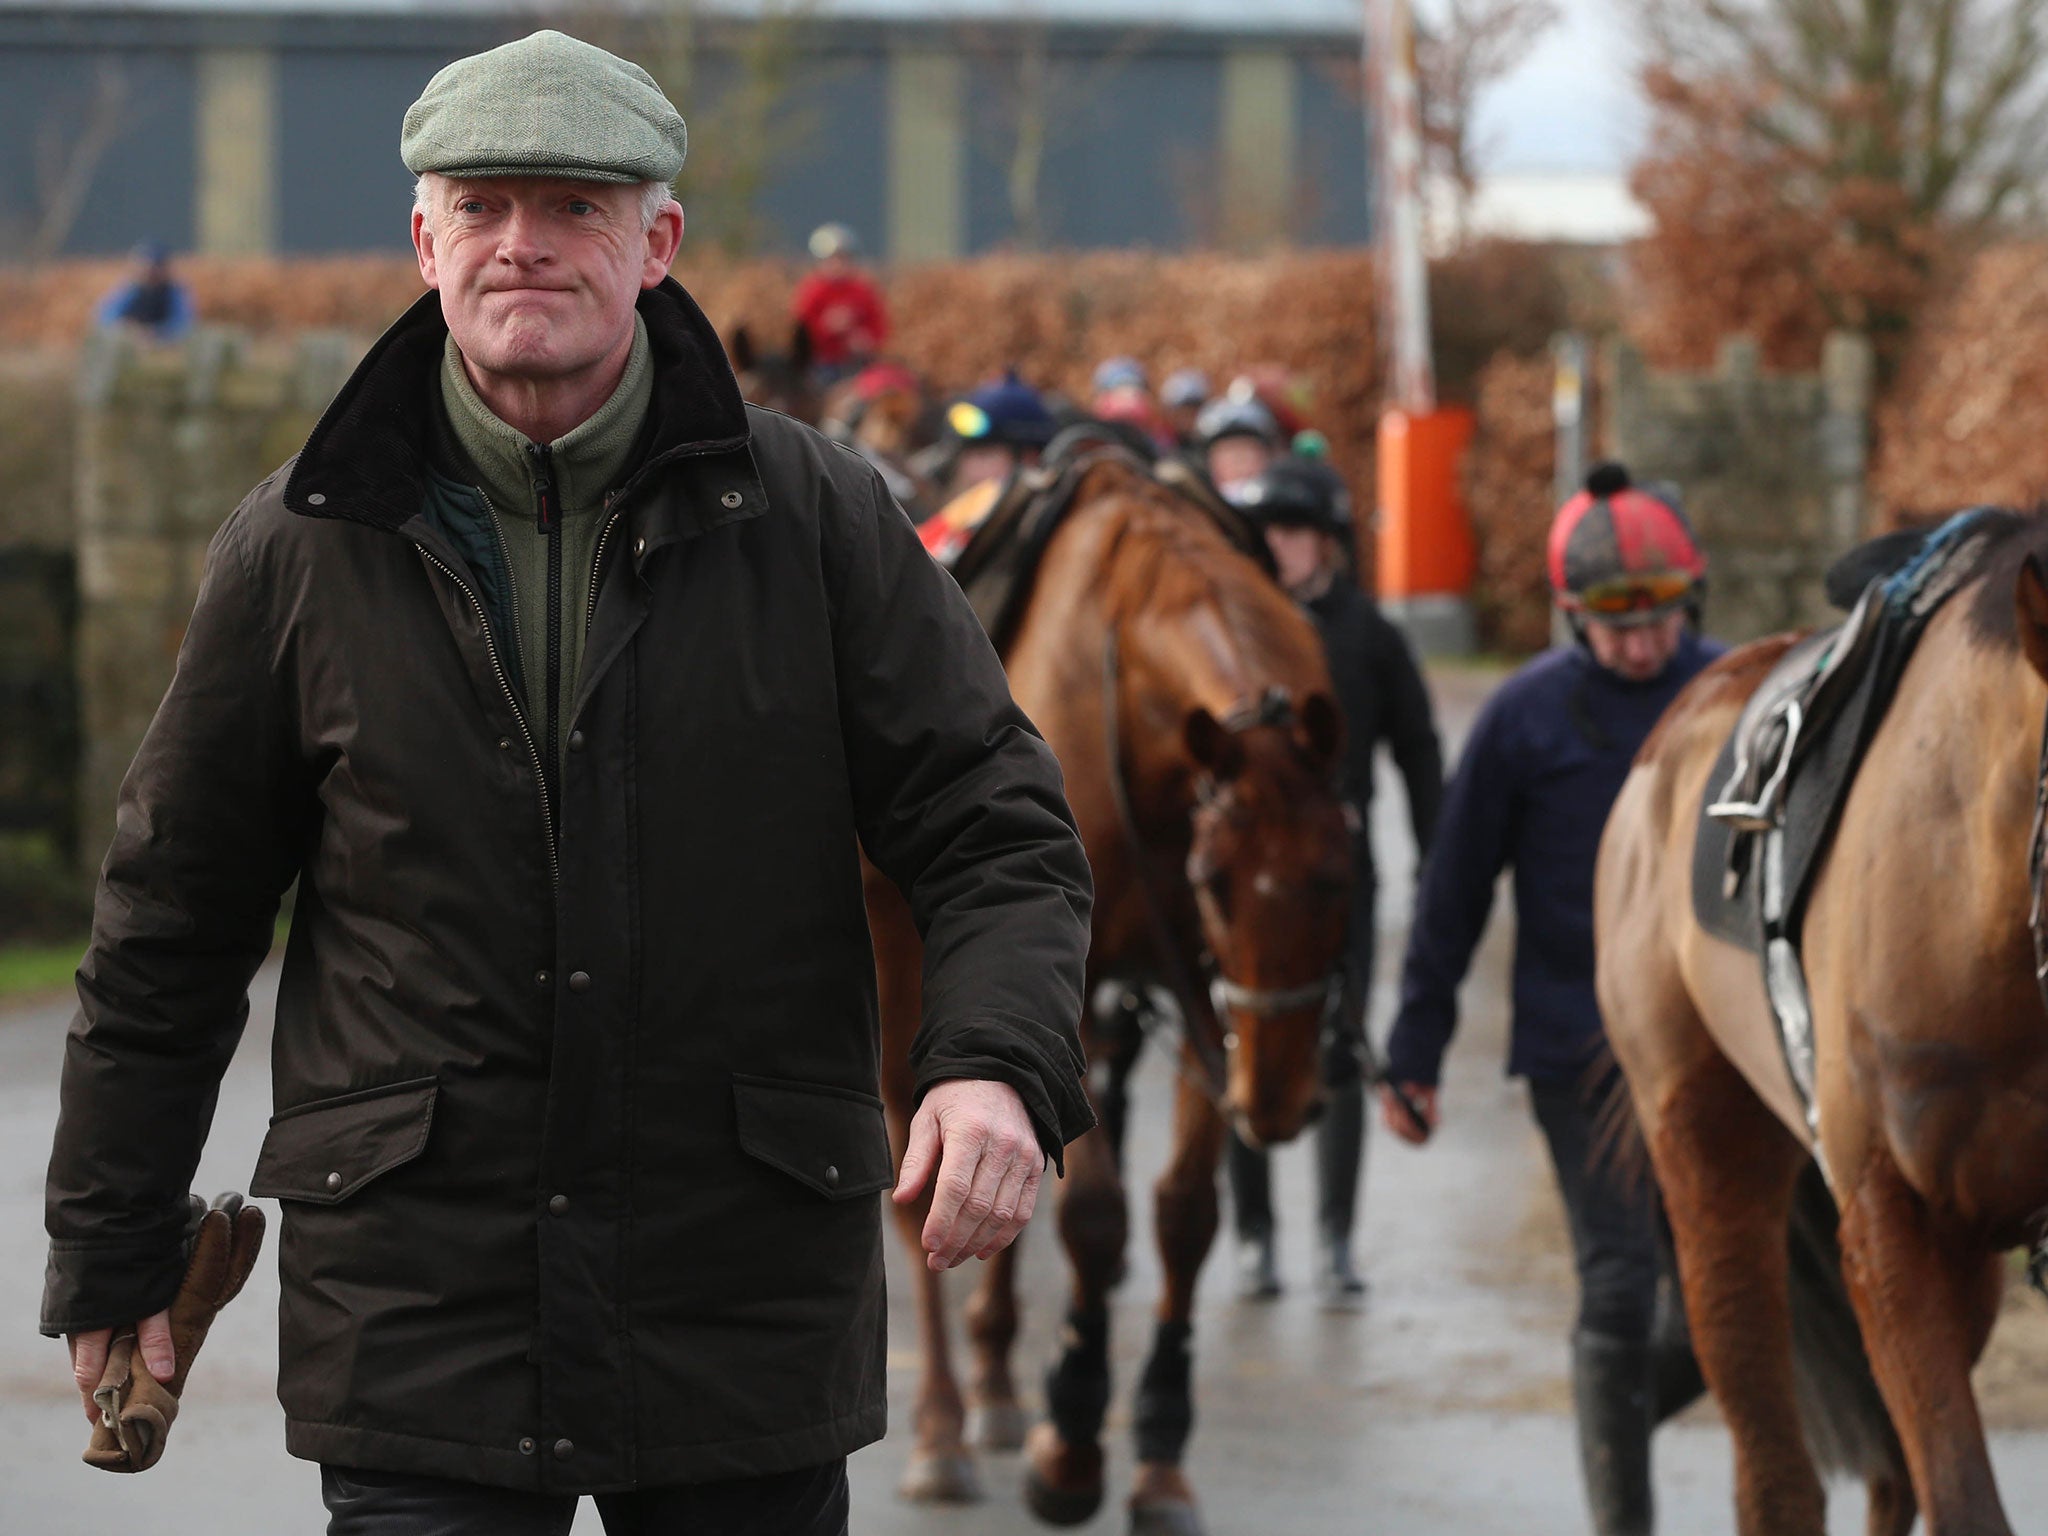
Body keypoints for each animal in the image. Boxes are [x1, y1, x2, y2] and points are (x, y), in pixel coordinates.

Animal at [868, 460, 1359, 1536]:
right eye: (1218, 878)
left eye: (1340, 869)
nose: (1278, 1099)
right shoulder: (1082, 993)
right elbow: (1094, 1215)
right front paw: (1074, 1442)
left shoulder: (1201, 1000)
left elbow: (1183, 1214)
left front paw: (1158, 1456)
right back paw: (941, 1426)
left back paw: (997, 1384)